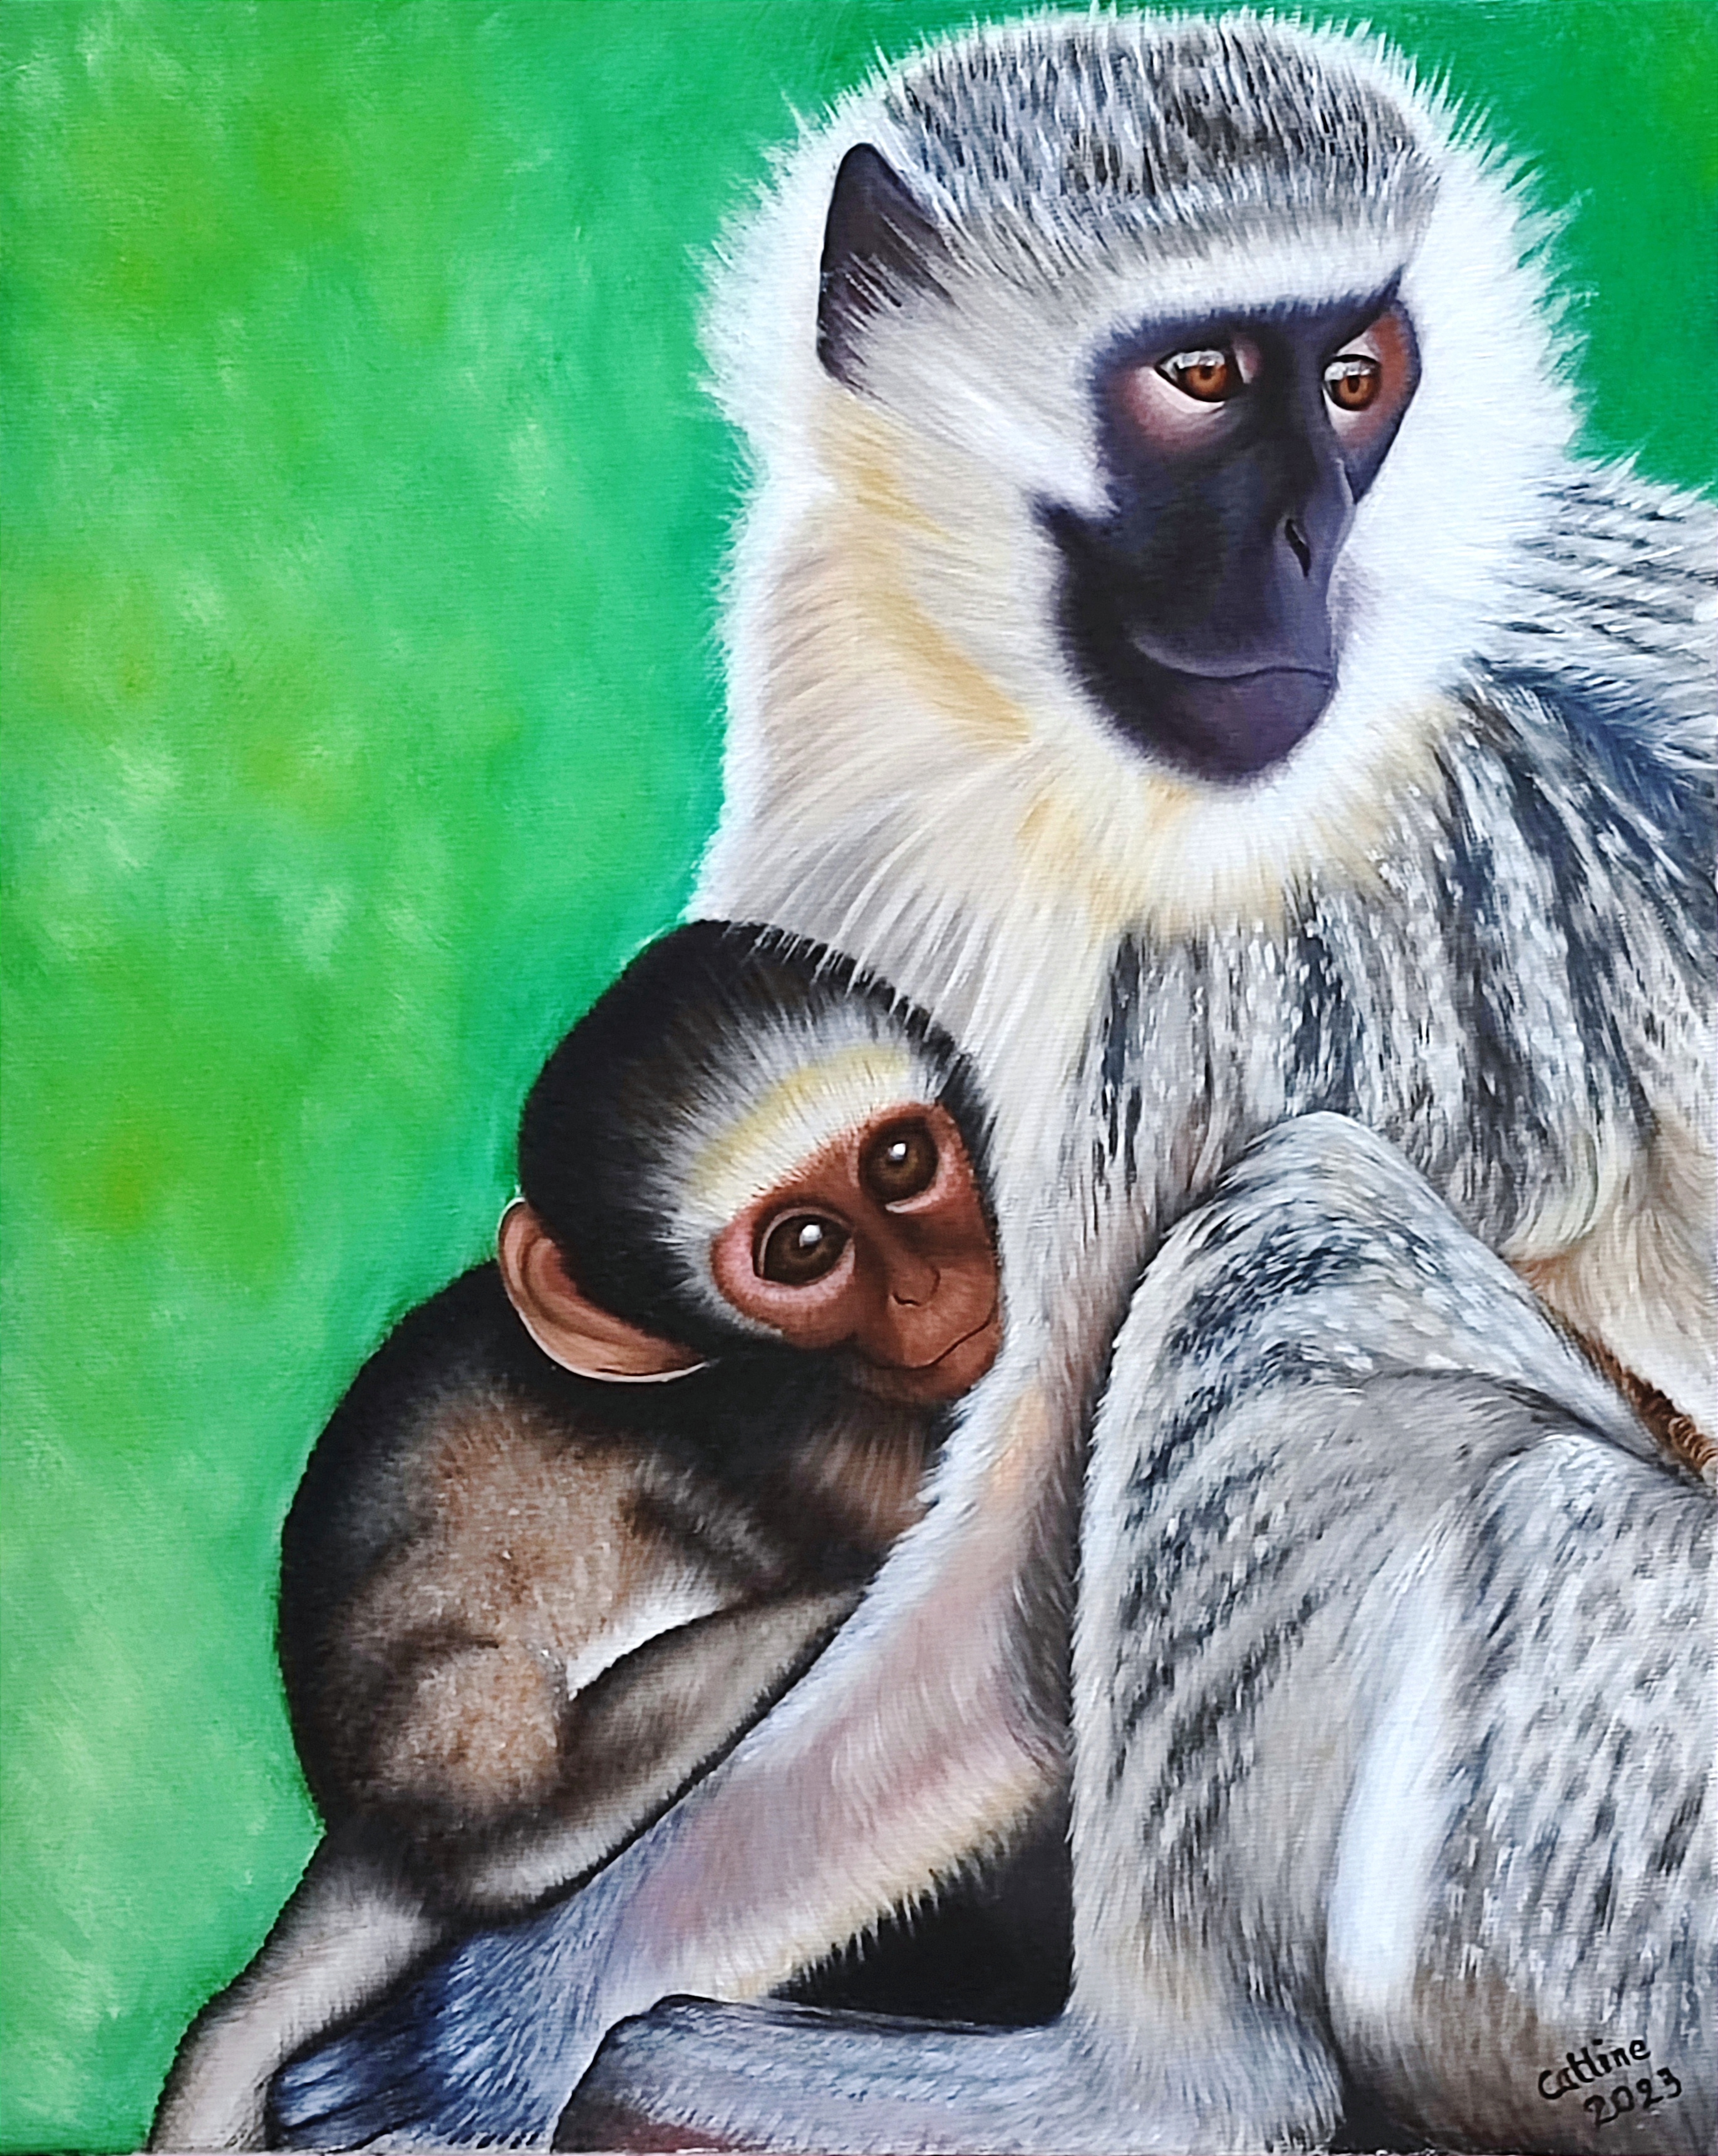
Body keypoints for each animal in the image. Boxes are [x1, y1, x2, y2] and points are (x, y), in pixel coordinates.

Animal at [151, 920, 1005, 2151]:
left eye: (898, 1161)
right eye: (803, 1246)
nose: (928, 1286)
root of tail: (372, 1836)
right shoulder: (791, 1438)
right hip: (477, 1770)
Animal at [268, 11, 1714, 2150]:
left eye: (1349, 380)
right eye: (1200, 379)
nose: (1306, 545)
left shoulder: (1287, 935)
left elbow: (1004, 1595)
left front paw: (514, 2013)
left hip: (1613, 1792)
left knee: (1281, 1244)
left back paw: (1138, 2085)